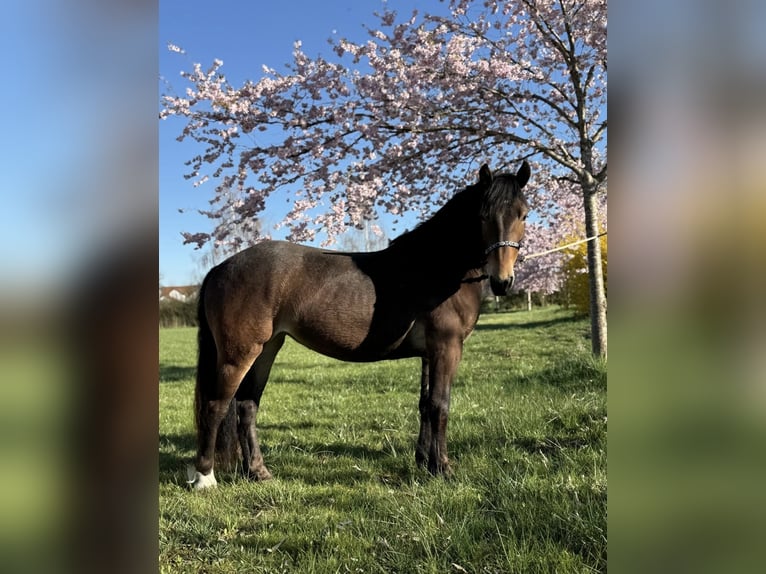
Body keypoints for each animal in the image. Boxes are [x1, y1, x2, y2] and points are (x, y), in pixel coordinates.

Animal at [187, 162, 530, 488]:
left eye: (523, 214)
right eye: (483, 215)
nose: (502, 282)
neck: (436, 266)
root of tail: (221, 267)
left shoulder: (430, 353)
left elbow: (425, 404)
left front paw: (424, 462)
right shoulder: (447, 348)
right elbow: (440, 405)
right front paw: (443, 468)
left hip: (267, 349)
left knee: (247, 407)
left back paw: (258, 472)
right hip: (238, 354)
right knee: (216, 407)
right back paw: (205, 477)